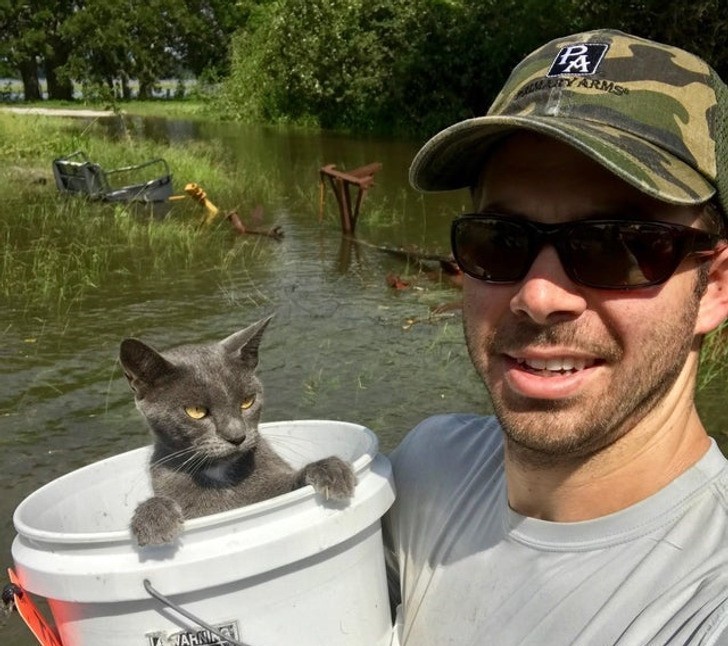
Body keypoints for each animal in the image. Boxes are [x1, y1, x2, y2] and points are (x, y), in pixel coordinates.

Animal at [118, 318, 356, 548]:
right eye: (195, 411)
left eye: (247, 401)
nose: (237, 436)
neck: (221, 474)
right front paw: (154, 519)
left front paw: (331, 471)